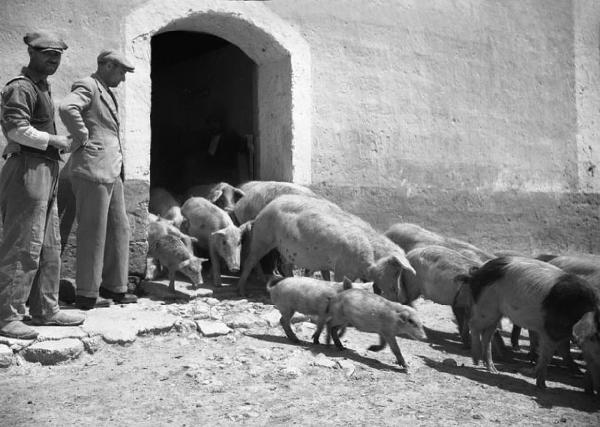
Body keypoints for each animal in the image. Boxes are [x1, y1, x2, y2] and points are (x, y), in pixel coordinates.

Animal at [237, 196, 414, 300]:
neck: (371, 258)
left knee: (285, 265)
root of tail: (265, 209)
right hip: (263, 236)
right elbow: (339, 281)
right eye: (396, 271)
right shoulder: (342, 268)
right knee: (250, 260)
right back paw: (243, 291)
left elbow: (327, 277)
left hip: (284, 248)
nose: (400, 297)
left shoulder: (327, 264)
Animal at [466, 256, 596, 390]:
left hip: (496, 313)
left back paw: (493, 370)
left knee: (487, 335)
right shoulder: (551, 331)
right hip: (486, 308)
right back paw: (476, 361)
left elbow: (552, 354)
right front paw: (543, 386)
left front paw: (538, 381)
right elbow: (547, 356)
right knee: (473, 324)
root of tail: (479, 271)